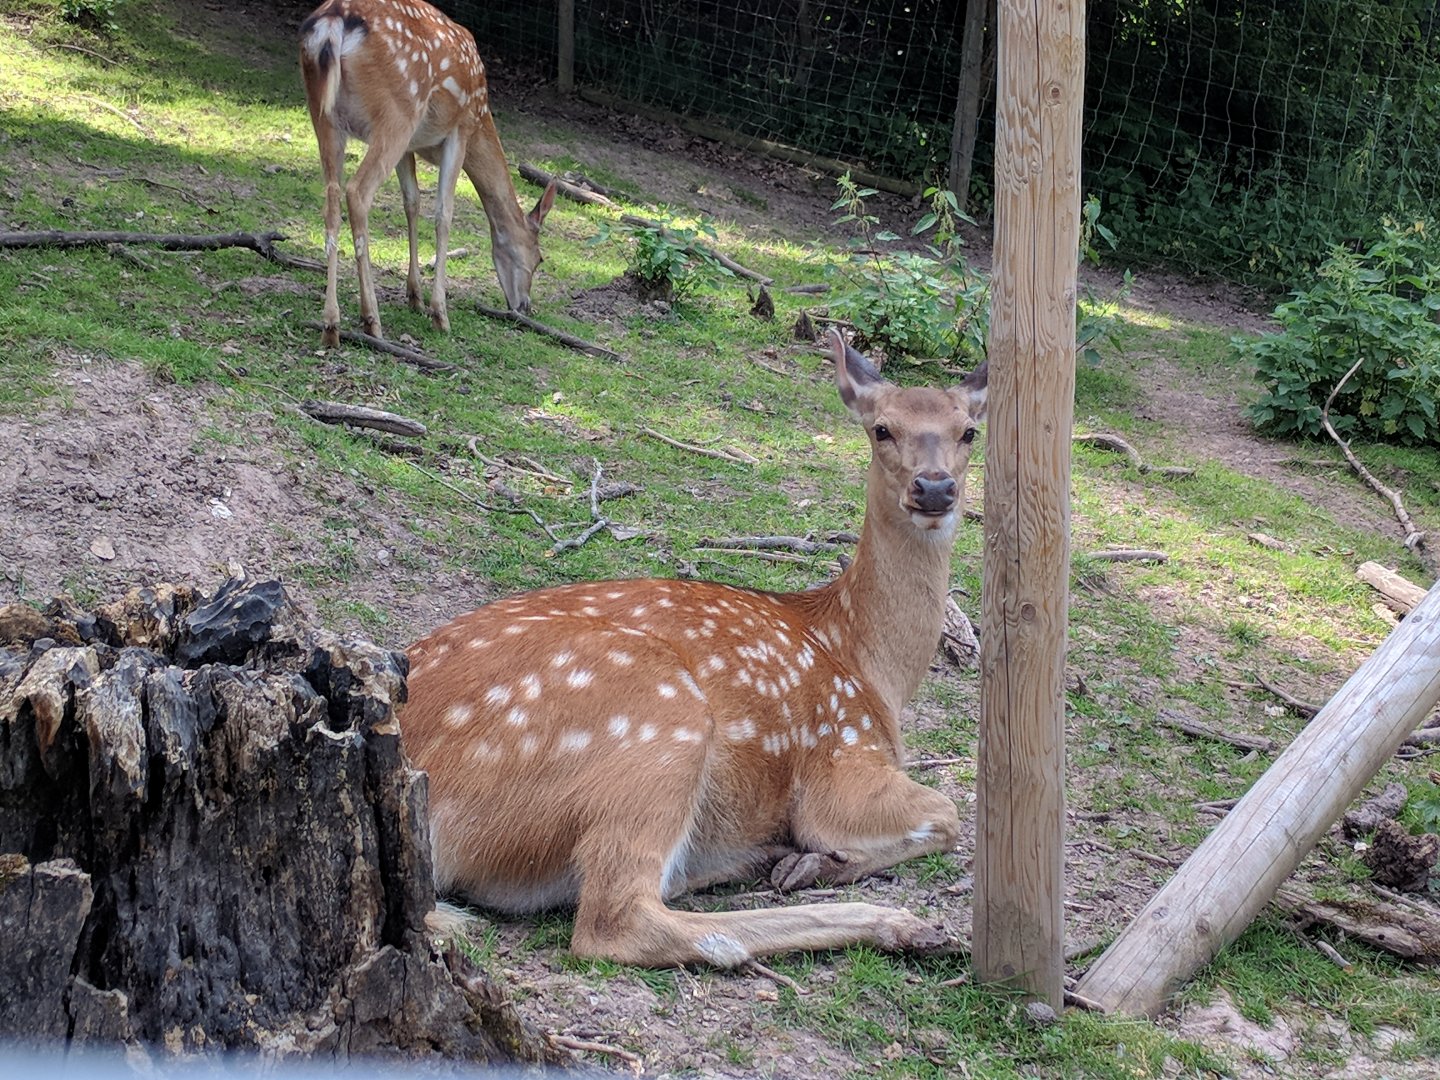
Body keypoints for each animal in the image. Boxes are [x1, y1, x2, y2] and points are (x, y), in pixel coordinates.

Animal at [299, 0, 557, 347]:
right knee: (357, 192)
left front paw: (415, 297)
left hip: (324, 116)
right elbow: (443, 213)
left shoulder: (411, 146)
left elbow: (412, 202)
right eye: (539, 258)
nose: (524, 305)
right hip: (398, 112)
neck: (482, 120)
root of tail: (331, 24)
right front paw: (439, 313)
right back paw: (371, 320)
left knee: (331, 194)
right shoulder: (460, 129)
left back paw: (331, 325)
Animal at [402, 329, 988, 968]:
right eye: (881, 428)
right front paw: (820, 862)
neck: (868, 665)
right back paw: (893, 921)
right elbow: (949, 815)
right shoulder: (840, 760)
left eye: (968, 431)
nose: (934, 486)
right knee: (617, 921)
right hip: (658, 721)